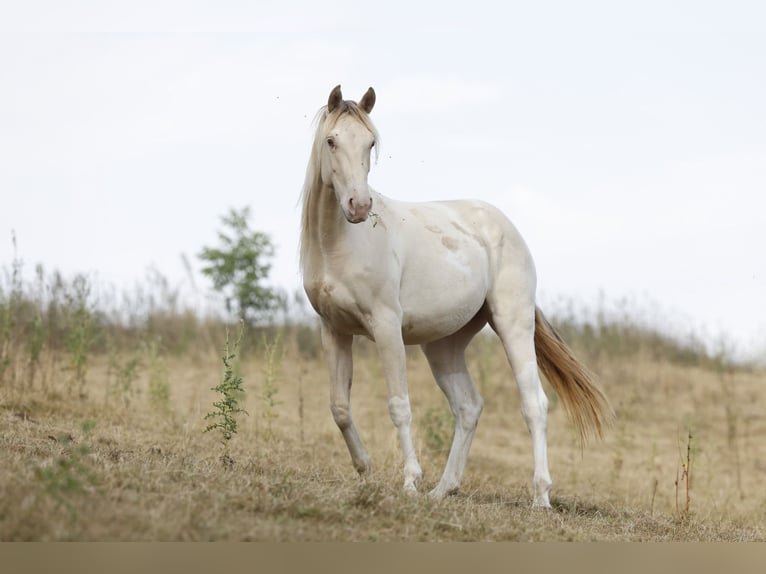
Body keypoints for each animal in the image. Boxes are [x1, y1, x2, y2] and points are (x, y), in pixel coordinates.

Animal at [299, 84, 613, 507]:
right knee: (468, 407)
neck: (339, 244)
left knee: (534, 405)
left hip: (512, 325)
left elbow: (399, 405)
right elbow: (340, 407)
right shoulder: (334, 330)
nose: (360, 206)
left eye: (370, 142)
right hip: (443, 346)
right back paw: (443, 489)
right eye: (331, 141)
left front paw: (410, 481)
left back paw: (540, 497)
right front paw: (365, 471)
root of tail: (505, 227)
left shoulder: (386, 326)